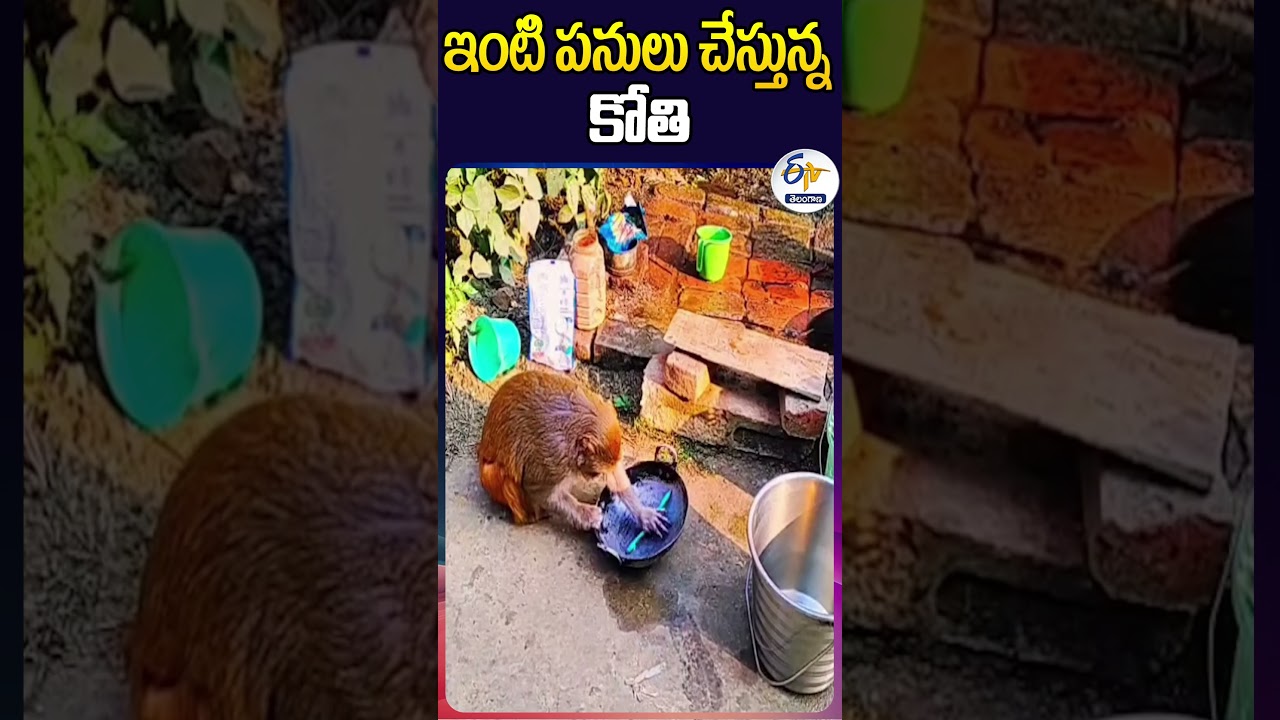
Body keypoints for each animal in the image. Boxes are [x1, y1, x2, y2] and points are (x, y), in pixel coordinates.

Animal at [476, 369, 669, 535]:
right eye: (595, 472)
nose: (593, 477)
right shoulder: (553, 457)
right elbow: (538, 491)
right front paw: (588, 515)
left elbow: (615, 474)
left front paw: (644, 514)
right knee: (498, 474)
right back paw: (531, 517)